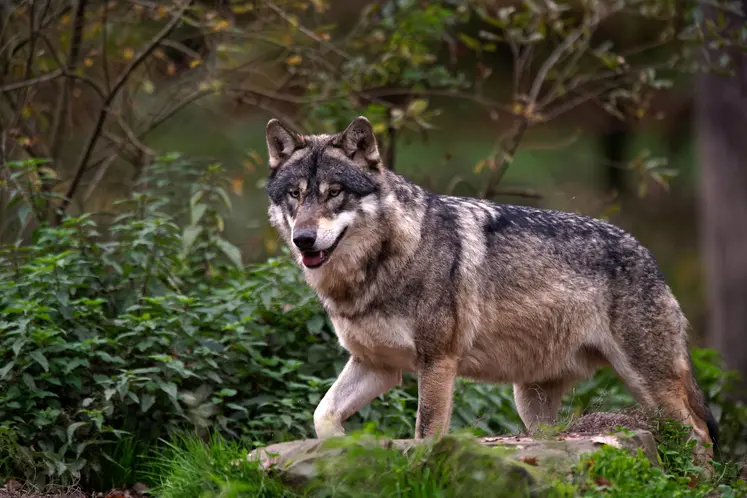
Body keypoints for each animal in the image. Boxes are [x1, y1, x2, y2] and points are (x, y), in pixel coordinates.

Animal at [264, 116, 718, 464]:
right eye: (295, 195)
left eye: (334, 192)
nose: (303, 239)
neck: (382, 263)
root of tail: (648, 255)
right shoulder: (377, 365)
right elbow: (322, 415)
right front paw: (340, 451)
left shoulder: (438, 362)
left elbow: (426, 432)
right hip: (531, 403)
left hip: (648, 382)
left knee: (698, 433)